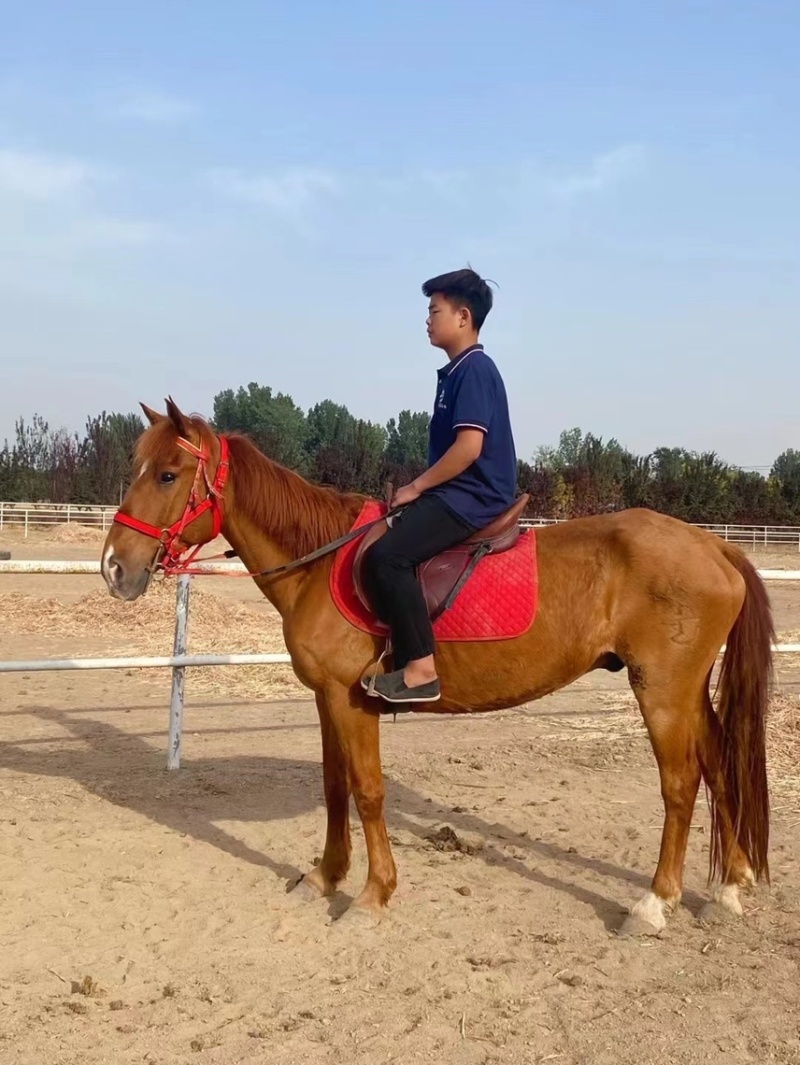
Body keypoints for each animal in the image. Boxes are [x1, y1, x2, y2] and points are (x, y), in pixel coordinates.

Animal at [100, 398, 773, 937]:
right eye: (135, 467)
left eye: (168, 473)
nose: (114, 568)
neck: (320, 561)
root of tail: (713, 544)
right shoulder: (326, 697)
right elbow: (334, 786)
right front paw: (325, 877)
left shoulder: (351, 700)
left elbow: (367, 792)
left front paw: (372, 895)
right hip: (686, 691)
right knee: (720, 764)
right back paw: (728, 888)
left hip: (661, 690)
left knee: (681, 784)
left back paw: (654, 904)